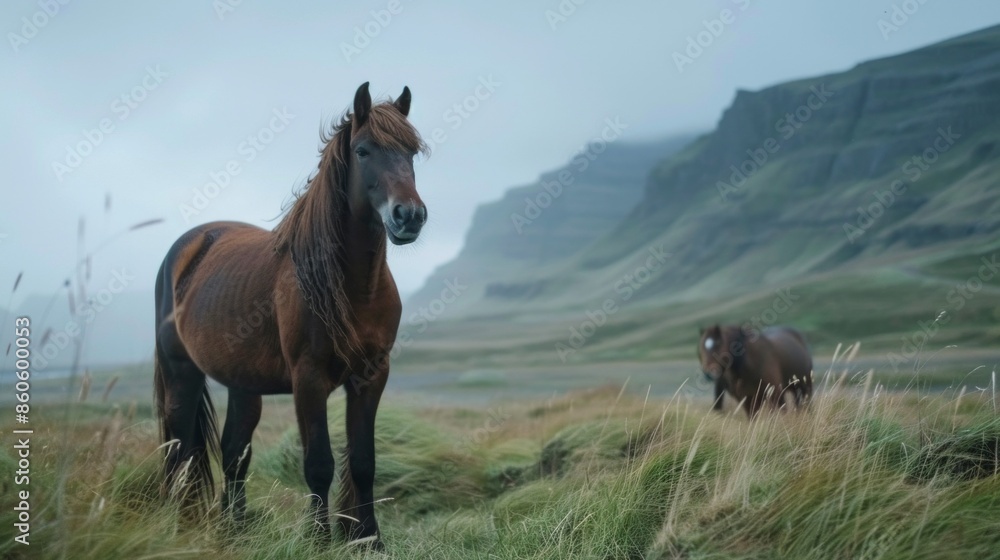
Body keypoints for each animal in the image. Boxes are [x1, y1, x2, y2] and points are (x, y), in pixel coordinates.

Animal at [153, 82, 427, 549]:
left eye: (411, 153)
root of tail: (188, 246)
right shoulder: (308, 378)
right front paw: (318, 540)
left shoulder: (372, 374)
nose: (409, 216)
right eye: (363, 150)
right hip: (181, 373)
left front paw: (368, 540)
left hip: (243, 384)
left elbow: (364, 462)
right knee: (179, 447)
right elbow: (318, 463)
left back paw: (235, 530)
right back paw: (181, 523)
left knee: (233, 453)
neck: (350, 287)